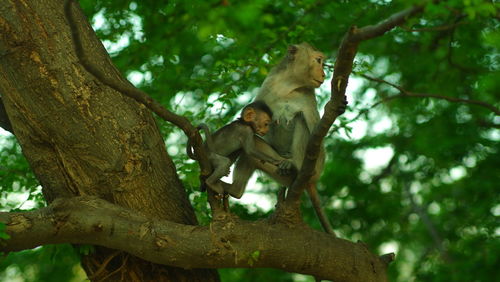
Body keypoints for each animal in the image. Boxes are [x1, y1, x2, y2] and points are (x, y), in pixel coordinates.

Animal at [233, 42, 346, 236]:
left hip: (314, 167)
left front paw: (336, 108)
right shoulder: (268, 84)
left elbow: (316, 134)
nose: (324, 73)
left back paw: (295, 166)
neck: (289, 85)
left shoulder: (308, 97)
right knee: (252, 152)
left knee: (301, 121)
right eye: (318, 60)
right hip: (277, 166)